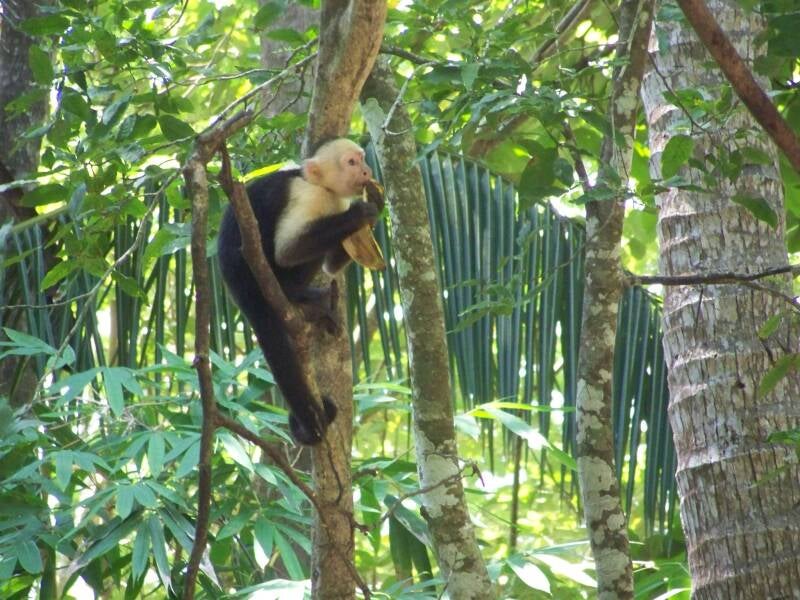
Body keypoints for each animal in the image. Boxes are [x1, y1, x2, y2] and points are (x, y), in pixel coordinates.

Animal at [217, 138, 379, 445]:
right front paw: (361, 213)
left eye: (362, 159)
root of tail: (237, 285)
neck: (321, 186)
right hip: (255, 276)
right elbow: (288, 252)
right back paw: (294, 293)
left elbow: (330, 265)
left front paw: (374, 212)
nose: (367, 171)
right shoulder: (308, 196)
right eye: (351, 162)